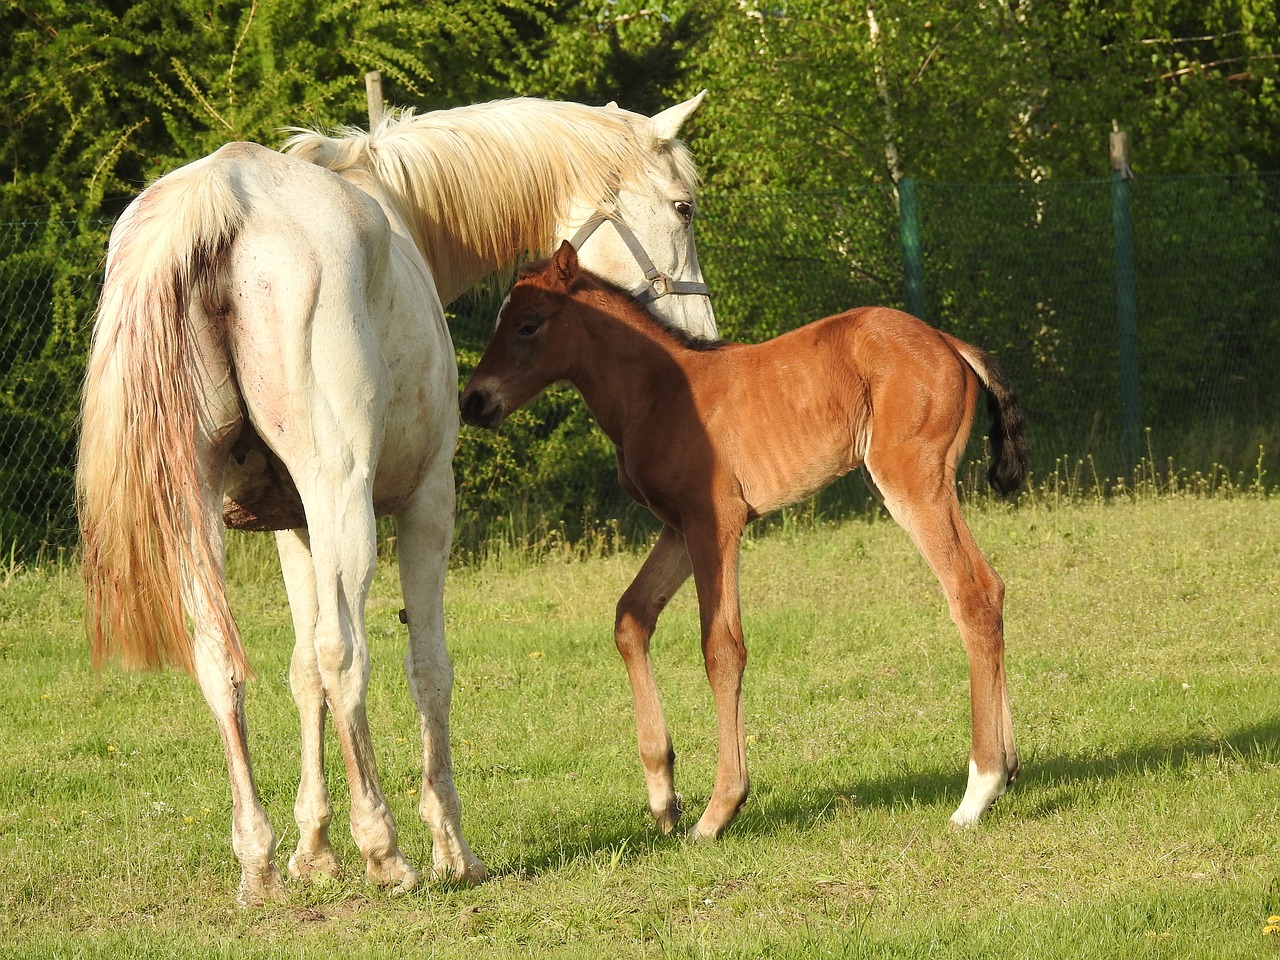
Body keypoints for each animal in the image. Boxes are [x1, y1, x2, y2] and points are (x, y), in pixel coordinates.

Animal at [74, 96, 716, 911]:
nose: (700, 341)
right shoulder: (425, 507)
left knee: (223, 660)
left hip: (194, 511)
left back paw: (258, 861)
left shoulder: (294, 530)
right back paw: (385, 850)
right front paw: (450, 847)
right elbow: (426, 668)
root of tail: (222, 201)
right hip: (343, 500)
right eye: (684, 207)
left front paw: (312, 850)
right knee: (345, 654)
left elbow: (299, 674)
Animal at [460, 241, 1029, 839]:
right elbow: (632, 618)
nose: (472, 402)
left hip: (913, 481)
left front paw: (719, 810)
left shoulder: (716, 523)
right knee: (989, 591)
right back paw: (1008, 768)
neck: (657, 392)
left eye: (528, 324)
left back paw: (979, 790)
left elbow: (721, 648)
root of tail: (949, 342)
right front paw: (663, 798)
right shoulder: (677, 528)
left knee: (972, 592)